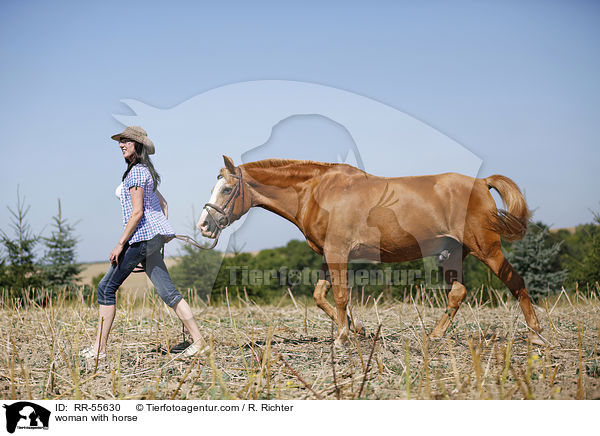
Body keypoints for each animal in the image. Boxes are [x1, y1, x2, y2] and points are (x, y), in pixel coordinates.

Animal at [198, 155, 544, 346]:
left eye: (226, 189)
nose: (204, 225)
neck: (318, 191)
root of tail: (482, 183)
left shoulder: (338, 251)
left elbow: (340, 295)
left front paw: (341, 338)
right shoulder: (328, 255)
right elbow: (321, 296)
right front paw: (357, 329)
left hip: (487, 248)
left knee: (516, 283)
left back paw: (537, 335)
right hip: (455, 254)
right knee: (458, 292)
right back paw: (434, 335)